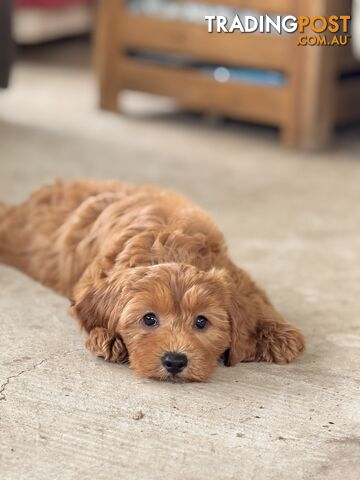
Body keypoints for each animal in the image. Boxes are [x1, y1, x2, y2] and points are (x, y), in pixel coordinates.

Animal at [0, 178, 304, 380]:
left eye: (202, 321)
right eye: (149, 319)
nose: (174, 361)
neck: (169, 244)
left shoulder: (238, 276)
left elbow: (258, 301)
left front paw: (278, 335)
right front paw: (107, 337)